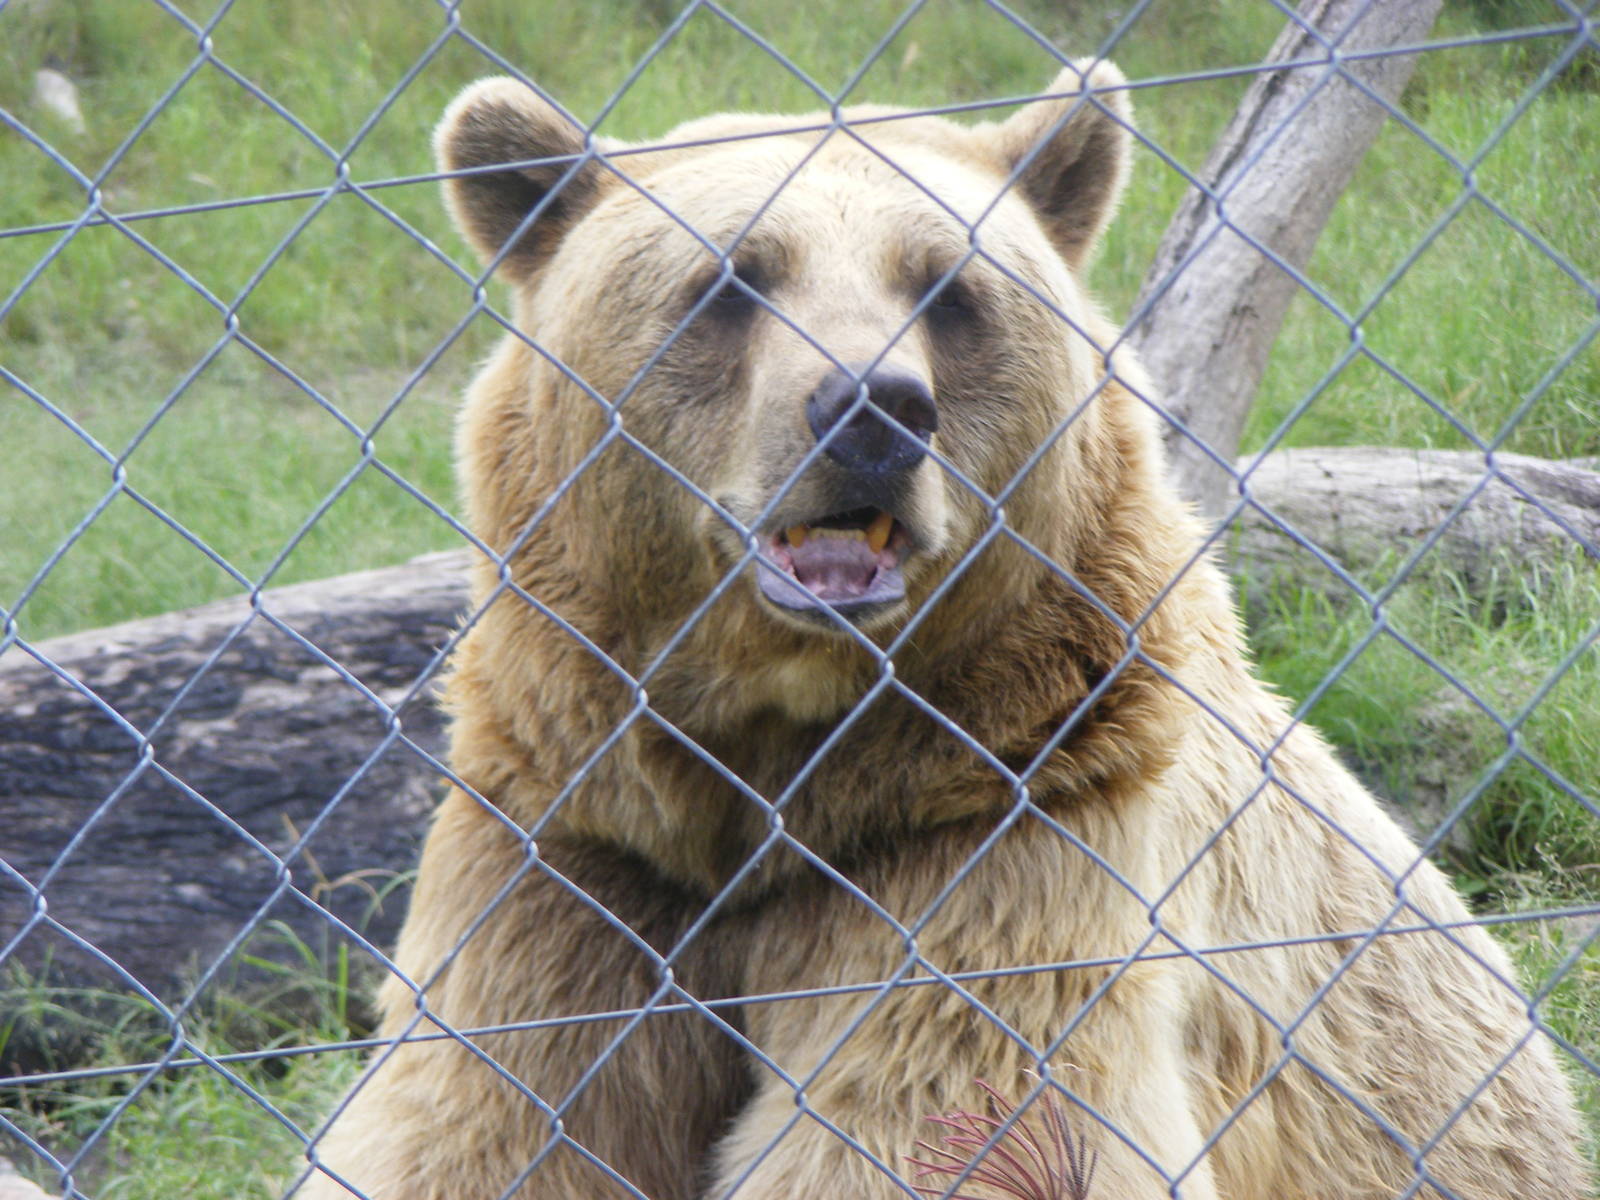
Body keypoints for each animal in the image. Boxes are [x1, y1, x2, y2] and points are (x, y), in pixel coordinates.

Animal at [291, 63, 1593, 1200]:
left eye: (946, 288)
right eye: (731, 281)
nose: (870, 407)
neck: (776, 774)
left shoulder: (1007, 827)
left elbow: (939, 1112)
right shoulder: (580, 850)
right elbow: (481, 1120)